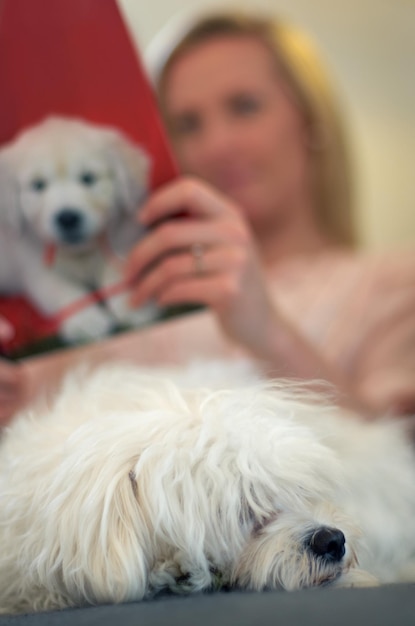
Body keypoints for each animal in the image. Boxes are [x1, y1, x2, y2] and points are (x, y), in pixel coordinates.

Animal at [0, 116, 156, 342]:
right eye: (38, 185)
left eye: (88, 178)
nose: (67, 218)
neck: (80, 251)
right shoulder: (36, 267)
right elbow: (64, 292)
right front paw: (87, 322)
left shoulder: (122, 242)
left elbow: (119, 276)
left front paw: (133, 307)